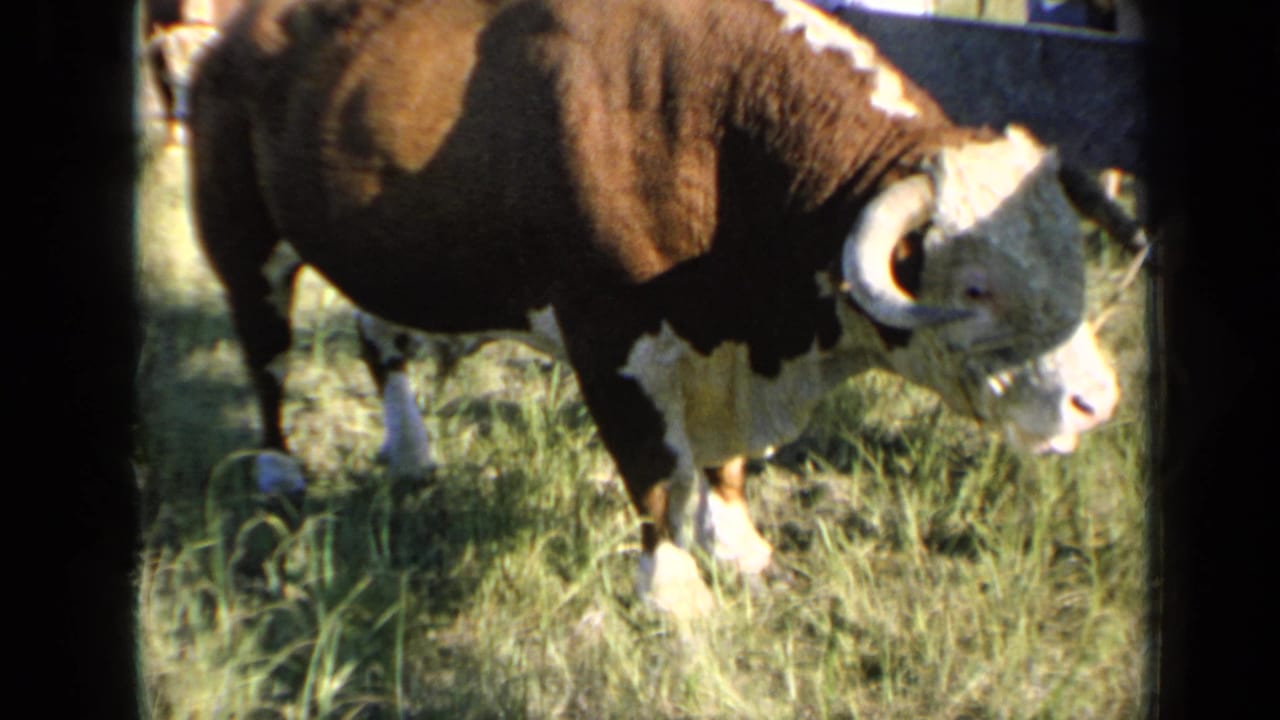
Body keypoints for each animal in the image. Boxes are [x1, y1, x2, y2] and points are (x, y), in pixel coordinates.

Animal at [188, 0, 1120, 614]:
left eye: (1070, 257)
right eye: (975, 288)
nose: (1096, 402)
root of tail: (241, 29)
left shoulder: (723, 345)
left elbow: (724, 466)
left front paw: (736, 544)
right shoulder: (610, 341)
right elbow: (652, 473)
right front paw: (673, 593)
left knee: (378, 340)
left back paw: (410, 450)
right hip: (246, 241)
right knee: (266, 355)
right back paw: (279, 471)